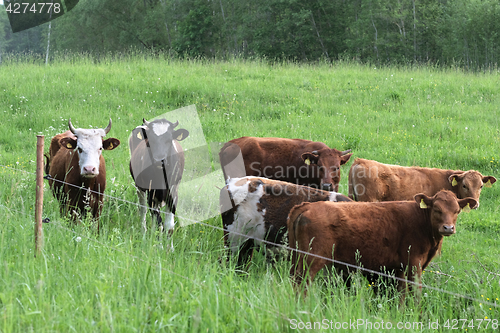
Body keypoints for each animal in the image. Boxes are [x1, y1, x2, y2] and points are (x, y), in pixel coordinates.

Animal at [288, 188, 474, 300]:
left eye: (457, 210)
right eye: (436, 209)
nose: (448, 228)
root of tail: (307, 206)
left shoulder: (399, 268)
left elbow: (401, 294)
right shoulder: (414, 264)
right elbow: (416, 293)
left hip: (296, 257)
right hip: (311, 261)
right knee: (301, 284)